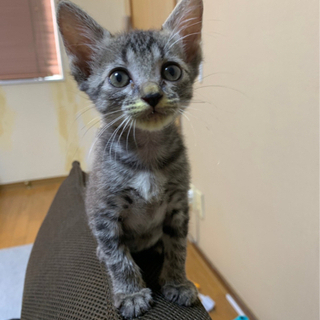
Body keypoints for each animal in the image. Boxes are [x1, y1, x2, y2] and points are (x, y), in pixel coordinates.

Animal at [57, 0, 202, 318]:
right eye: (119, 77)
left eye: (171, 71)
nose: (152, 95)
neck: (147, 156)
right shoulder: (103, 211)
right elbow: (117, 256)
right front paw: (132, 293)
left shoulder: (178, 204)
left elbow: (179, 246)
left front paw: (177, 281)